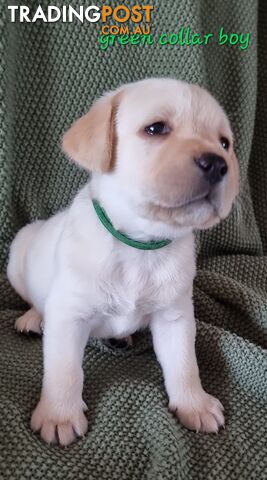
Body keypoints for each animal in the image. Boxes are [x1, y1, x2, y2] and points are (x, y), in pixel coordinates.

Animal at [7, 78, 240, 446]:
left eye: (224, 143)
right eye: (156, 128)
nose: (218, 164)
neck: (141, 245)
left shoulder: (175, 317)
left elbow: (185, 365)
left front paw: (194, 403)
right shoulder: (69, 315)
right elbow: (64, 371)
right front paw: (59, 414)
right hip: (19, 252)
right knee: (34, 300)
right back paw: (32, 318)